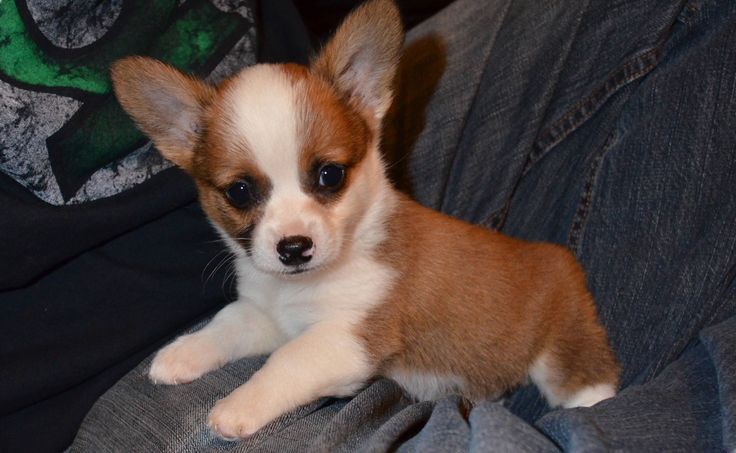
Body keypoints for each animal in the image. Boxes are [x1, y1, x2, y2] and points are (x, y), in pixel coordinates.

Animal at [112, 0, 620, 438]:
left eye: (329, 175)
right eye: (240, 191)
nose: (293, 248)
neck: (304, 288)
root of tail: (557, 257)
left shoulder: (346, 339)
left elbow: (286, 363)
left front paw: (236, 408)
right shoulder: (269, 317)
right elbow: (226, 324)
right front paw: (183, 353)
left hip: (565, 350)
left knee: (590, 385)